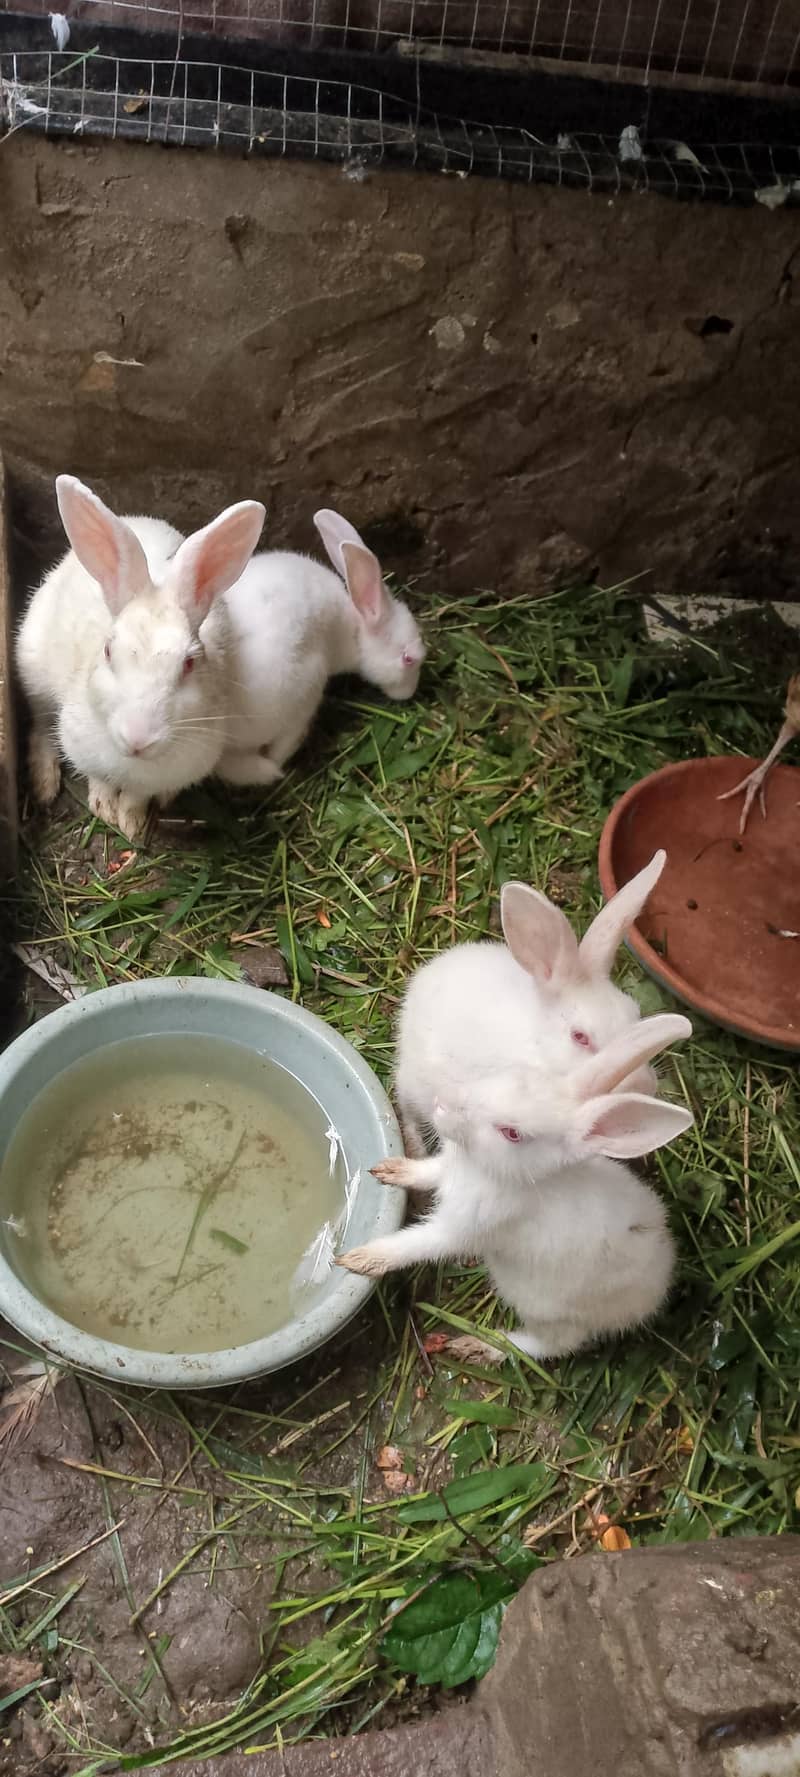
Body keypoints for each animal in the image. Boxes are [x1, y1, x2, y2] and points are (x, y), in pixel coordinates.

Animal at [15, 476, 266, 840]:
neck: (132, 762)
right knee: (40, 726)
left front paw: (131, 824)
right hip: (33, 670)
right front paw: (104, 809)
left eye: (189, 663)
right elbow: (100, 780)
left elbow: (137, 796)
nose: (138, 739)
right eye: (108, 651)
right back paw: (45, 785)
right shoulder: (84, 750)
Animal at [338, 1012, 693, 1361]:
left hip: (543, 1307)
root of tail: (653, 1297)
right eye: (507, 1075)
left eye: (512, 1133)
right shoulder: (446, 1170)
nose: (442, 1103)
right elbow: (424, 1172)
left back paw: (479, 1345)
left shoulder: (460, 1230)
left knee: (552, 1346)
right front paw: (390, 1169)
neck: (484, 1170)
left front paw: (359, 1259)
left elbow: (415, 1245)